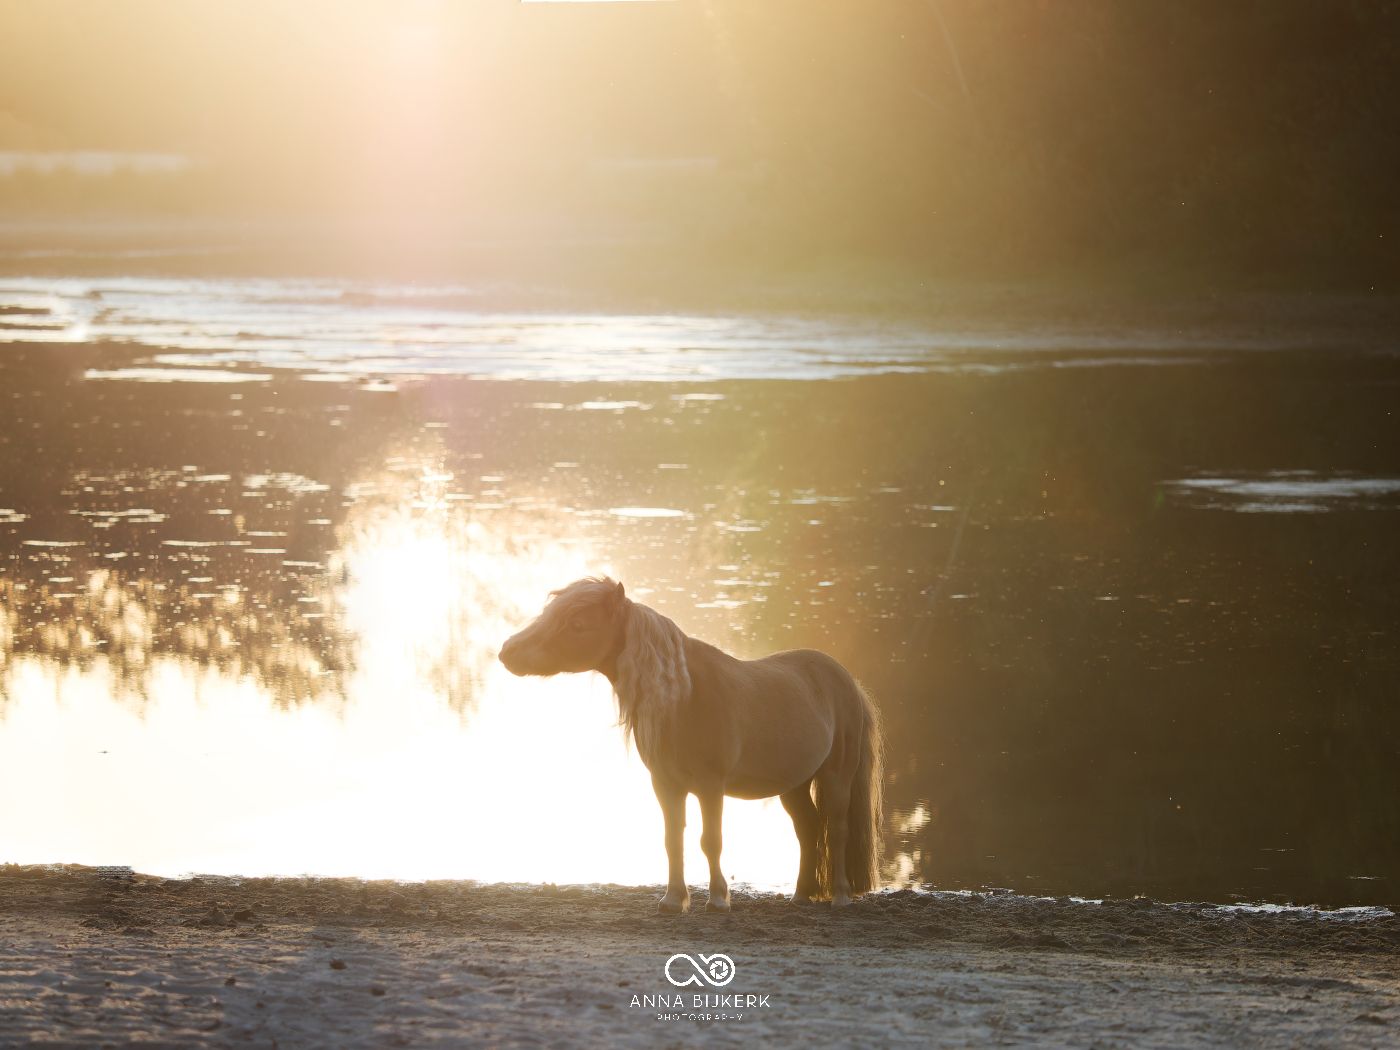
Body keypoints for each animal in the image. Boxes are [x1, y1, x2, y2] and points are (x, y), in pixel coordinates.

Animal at [498, 576, 884, 912]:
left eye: (578, 623)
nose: (507, 652)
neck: (685, 697)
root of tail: (847, 681)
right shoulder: (666, 785)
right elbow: (673, 841)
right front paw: (672, 900)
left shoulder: (710, 787)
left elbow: (710, 841)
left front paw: (717, 900)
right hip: (794, 784)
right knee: (808, 829)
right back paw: (801, 895)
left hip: (836, 776)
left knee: (836, 829)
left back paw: (840, 897)